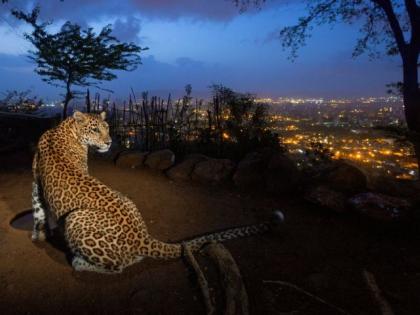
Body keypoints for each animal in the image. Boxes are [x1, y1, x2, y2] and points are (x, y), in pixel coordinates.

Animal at [31, 111, 284, 274]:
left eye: (107, 128)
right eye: (95, 129)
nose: (110, 141)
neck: (64, 129)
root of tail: (143, 236)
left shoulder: (37, 182)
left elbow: (38, 209)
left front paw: (40, 235)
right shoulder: (37, 181)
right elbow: (39, 209)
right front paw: (42, 233)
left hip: (76, 217)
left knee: (117, 267)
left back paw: (79, 263)